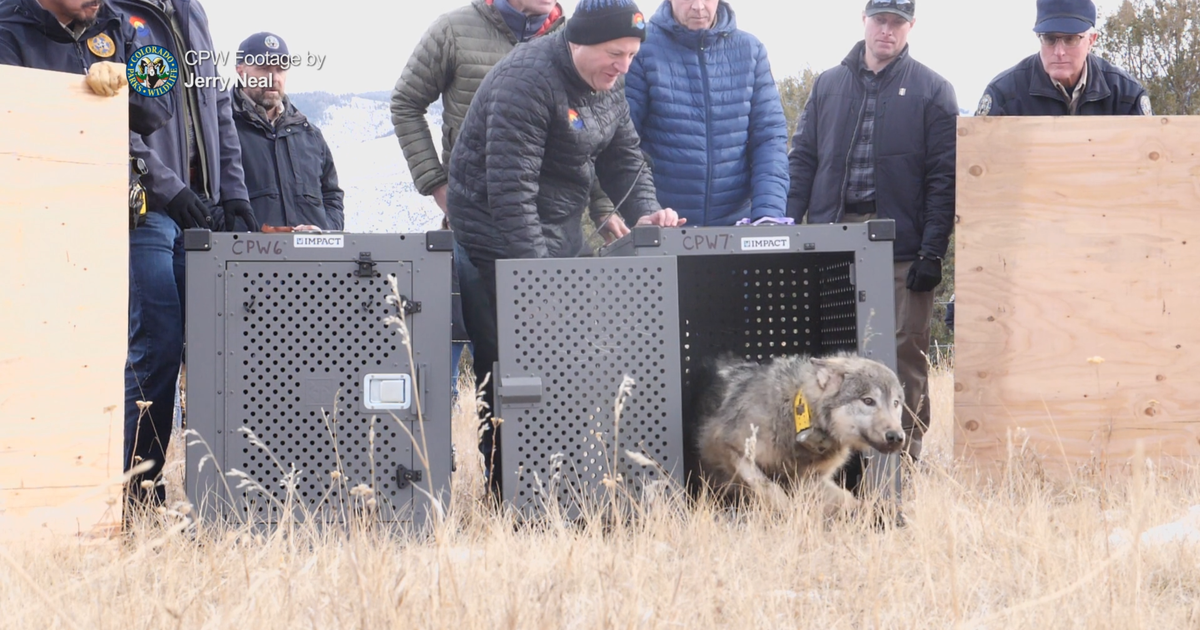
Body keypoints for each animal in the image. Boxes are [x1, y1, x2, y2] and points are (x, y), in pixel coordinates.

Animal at [692, 351, 906, 515]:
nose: (896, 437)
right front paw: (785, 511)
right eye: (868, 401)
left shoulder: (810, 478)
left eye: (896, 403)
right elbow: (768, 486)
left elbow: (846, 498)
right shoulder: (730, 448)